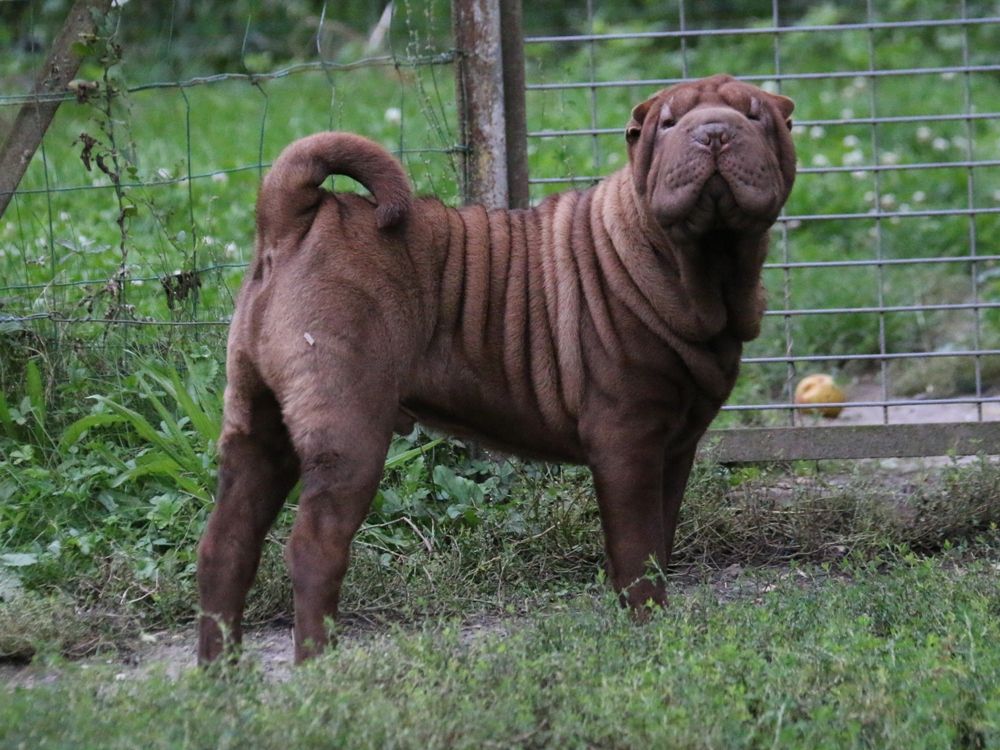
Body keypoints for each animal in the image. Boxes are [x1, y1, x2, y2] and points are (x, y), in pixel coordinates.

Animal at [199, 75, 796, 664]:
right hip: (349, 432)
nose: (714, 132)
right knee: (314, 548)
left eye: (755, 115)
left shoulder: (675, 446)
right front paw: (649, 634)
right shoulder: (627, 441)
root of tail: (297, 216)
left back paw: (219, 673)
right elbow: (636, 551)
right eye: (668, 124)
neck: (699, 267)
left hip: (258, 426)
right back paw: (319, 667)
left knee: (225, 545)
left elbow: (659, 540)